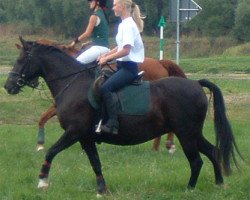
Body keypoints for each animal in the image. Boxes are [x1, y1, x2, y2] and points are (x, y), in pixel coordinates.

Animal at [34, 38, 186, 152]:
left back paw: (163, 146)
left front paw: (40, 145)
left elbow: (43, 117)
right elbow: (43, 118)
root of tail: (160, 62)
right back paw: (164, 145)